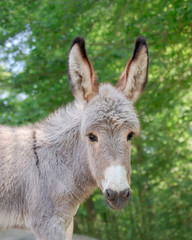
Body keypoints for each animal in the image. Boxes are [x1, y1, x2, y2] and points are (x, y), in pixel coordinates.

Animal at [0, 36, 148, 240]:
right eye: (92, 136)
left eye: (130, 135)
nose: (118, 194)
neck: (57, 166)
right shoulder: (48, 223)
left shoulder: (67, 223)